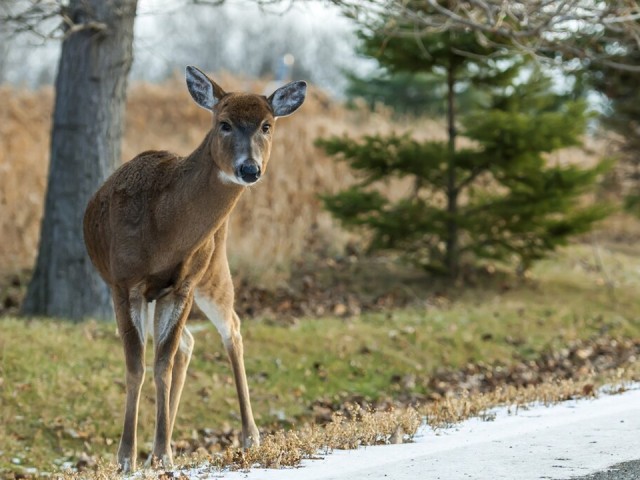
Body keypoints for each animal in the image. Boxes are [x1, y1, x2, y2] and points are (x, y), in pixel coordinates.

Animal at [83, 65, 308, 470]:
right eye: (224, 123)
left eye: (267, 125)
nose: (249, 168)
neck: (162, 229)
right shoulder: (124, 284)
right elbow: (138, 365)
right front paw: (128, 458)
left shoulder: (184, 284)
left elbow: (160, 363)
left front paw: (162, 454)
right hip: (159, 293)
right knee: (186, 344)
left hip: (213, 271)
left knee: (229, 328)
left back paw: (250, 436)